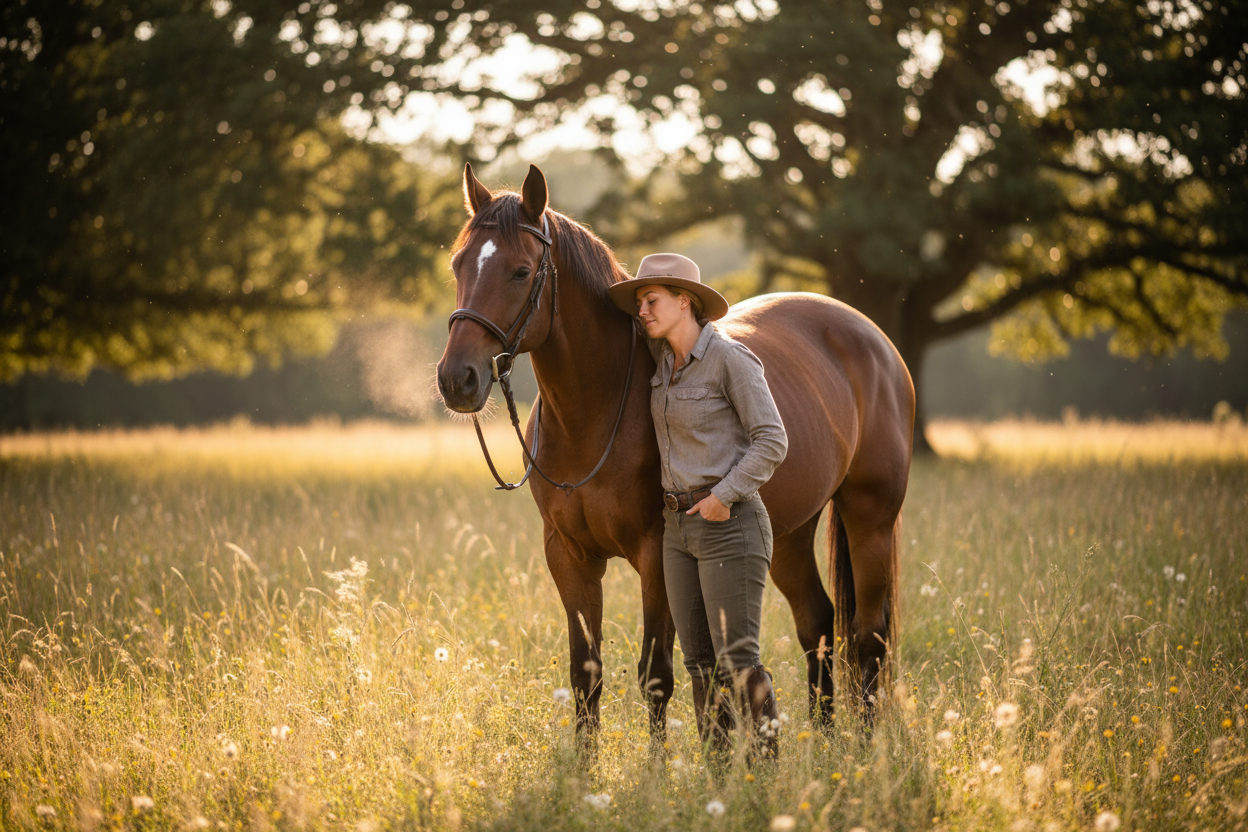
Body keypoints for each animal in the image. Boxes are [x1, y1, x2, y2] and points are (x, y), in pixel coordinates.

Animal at [436, 164, 914, 739]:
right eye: (459, 264)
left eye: (521, 271)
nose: (456, 379)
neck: (592, 417)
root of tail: (874, 338)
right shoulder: (568, 556)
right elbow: (585, 674)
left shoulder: (655, 554)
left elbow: (657, 676)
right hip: (791, 533)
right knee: (817, 624)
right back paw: (823, 740)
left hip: (870, 520)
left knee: (868, 636)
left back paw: (864, 747)